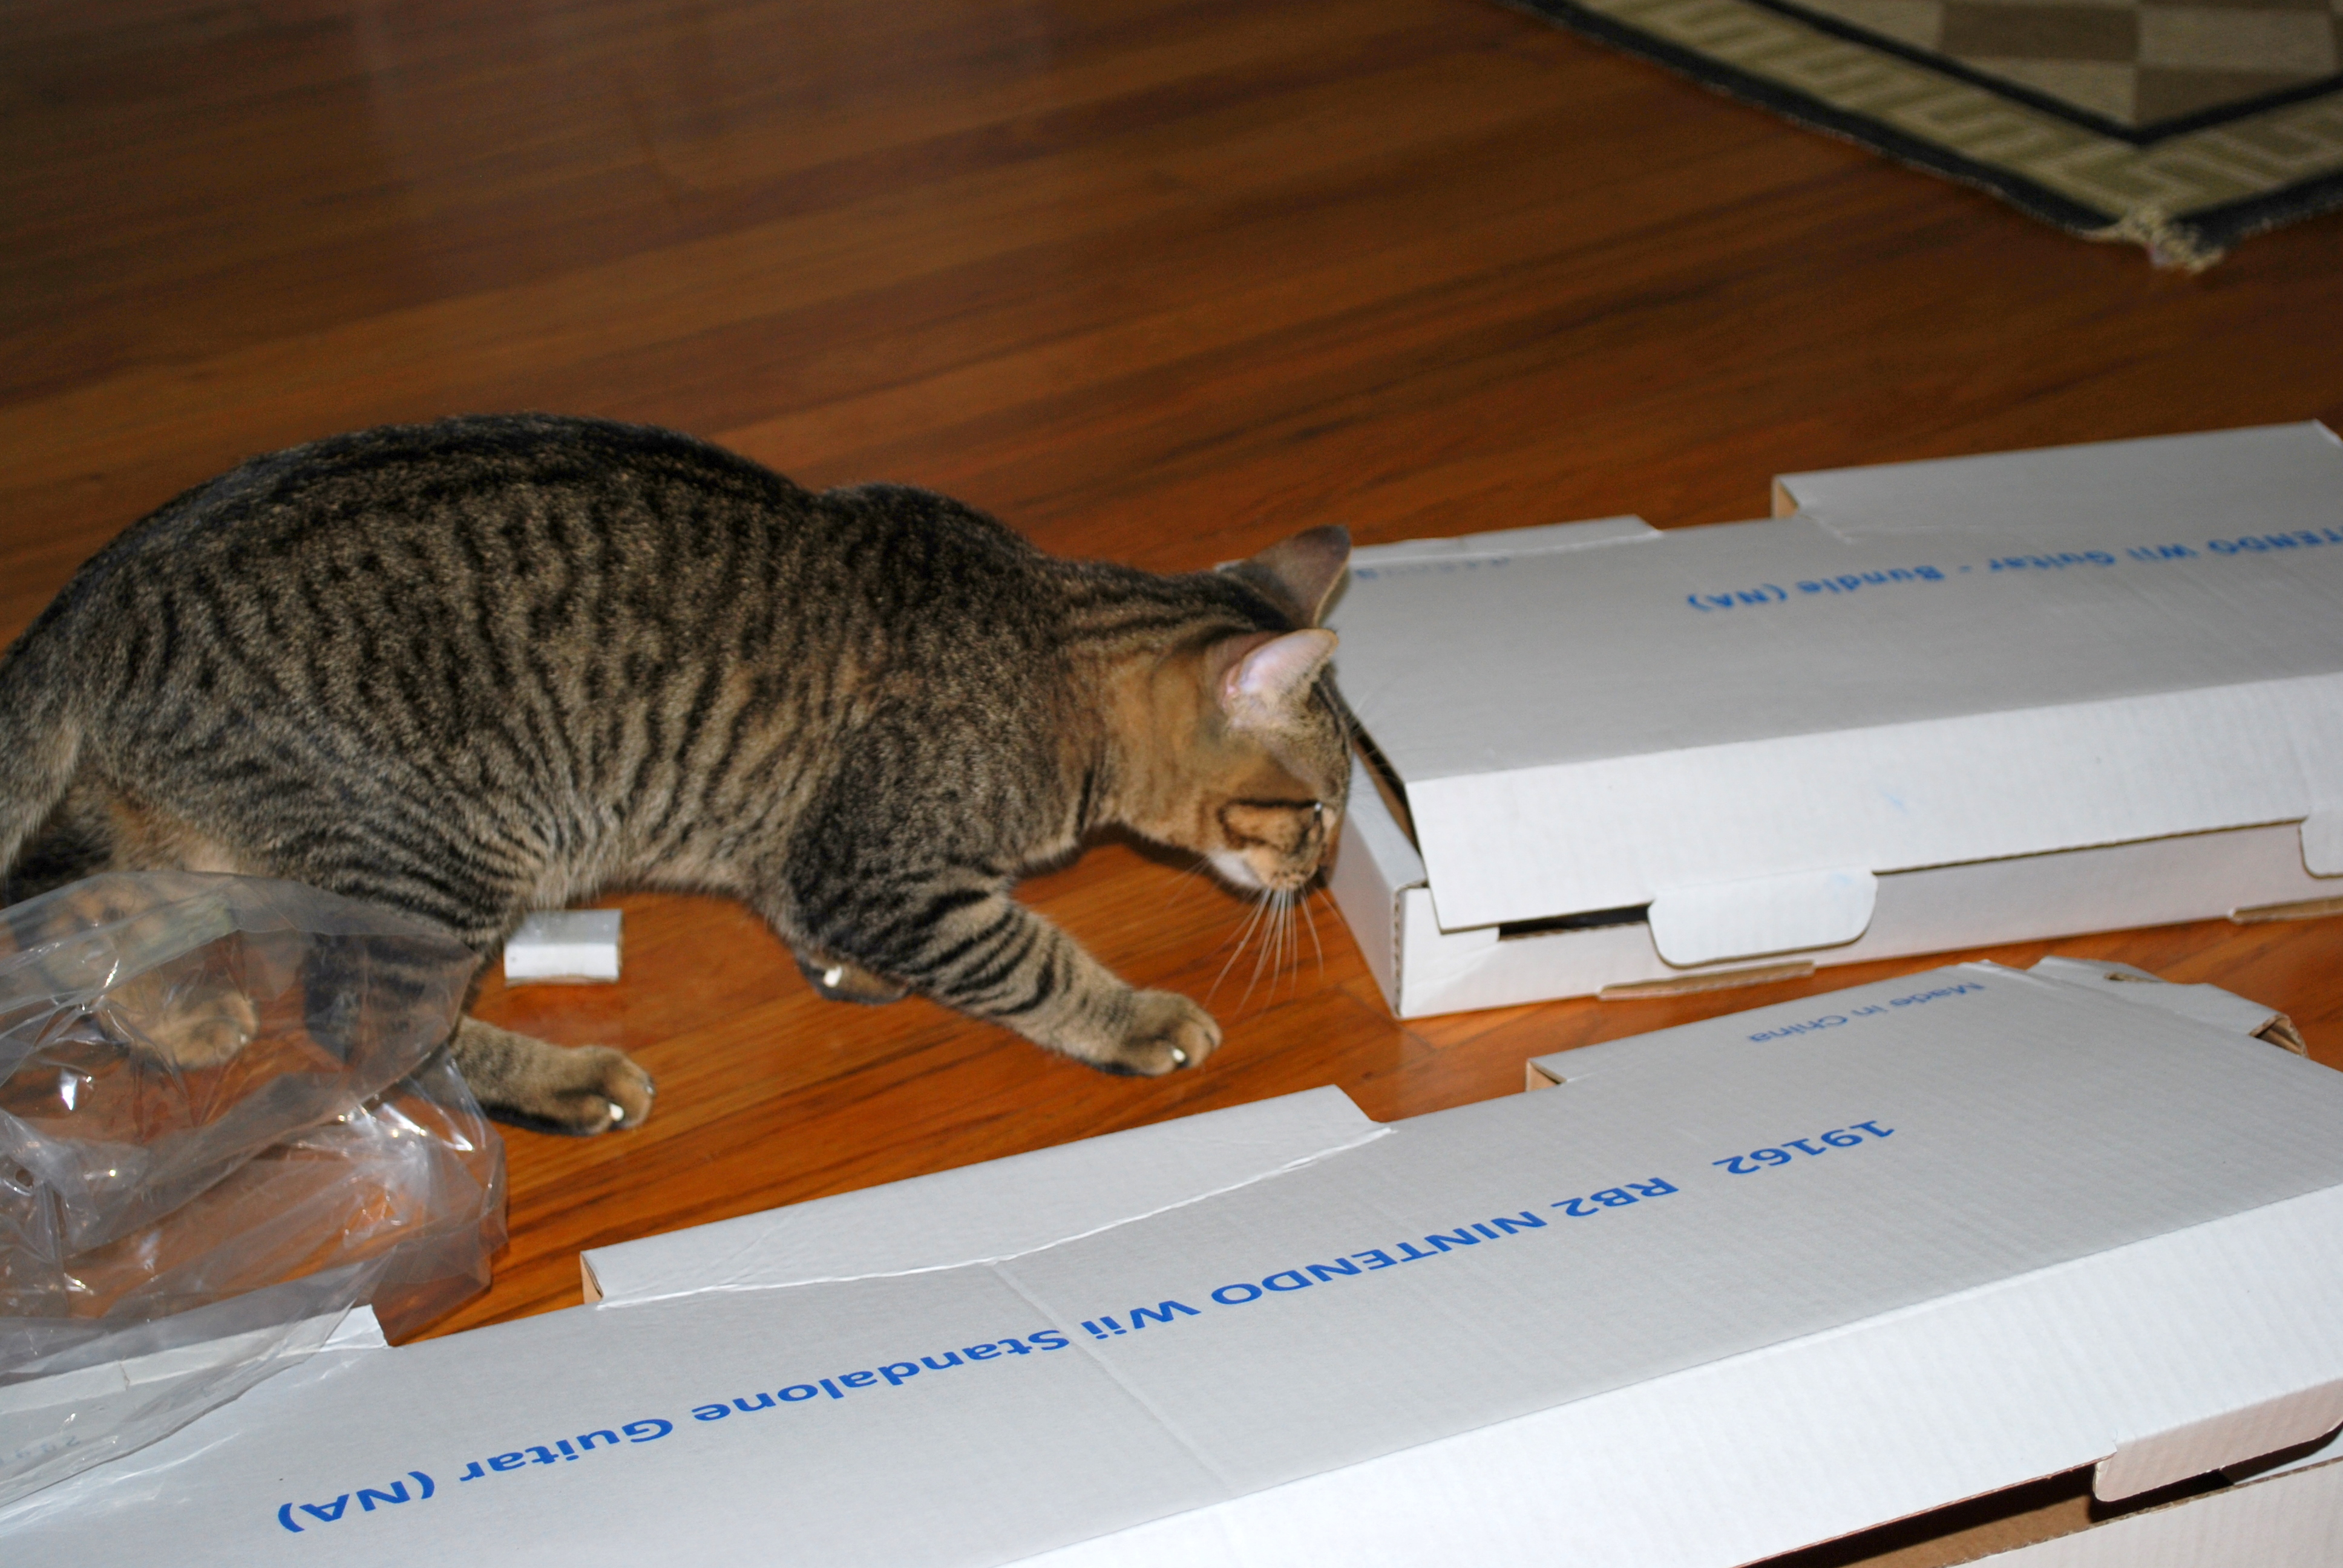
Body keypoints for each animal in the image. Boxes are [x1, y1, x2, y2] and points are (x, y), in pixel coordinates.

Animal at [0, 415, 1353, 1134]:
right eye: (1318, 813)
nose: (1326, 871)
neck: (1050, 647)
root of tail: (111, 585)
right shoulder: (885, 863)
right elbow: (1023, 954)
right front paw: (1130, 1018)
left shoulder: (809, 845)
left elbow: (798, 904)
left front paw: (838, 966)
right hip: (442, 852)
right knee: (368, 1023)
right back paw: (562, 1083)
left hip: (202, 834)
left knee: (75, 912)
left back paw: (174, 1019)